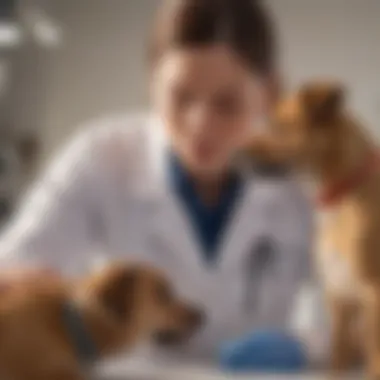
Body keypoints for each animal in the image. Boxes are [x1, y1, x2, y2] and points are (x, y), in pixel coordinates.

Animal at [248, 81, 380, 378]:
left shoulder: (372, 296)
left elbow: (375, 362)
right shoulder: (339, 298)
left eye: (281, 127)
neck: (343, 196)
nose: (235, 151)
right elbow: (337, 359)